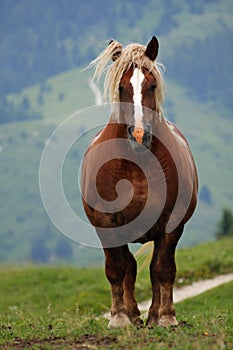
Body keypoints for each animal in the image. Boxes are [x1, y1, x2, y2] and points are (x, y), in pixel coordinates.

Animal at [81, 37, 198, 330]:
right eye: (121, 87)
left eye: (152, 85)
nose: (138, 135)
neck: (136, 165)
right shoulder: (106, 224)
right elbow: (116, 270)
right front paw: (119, 317)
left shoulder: (170, 224)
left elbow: (163, 269)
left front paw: (166, 316)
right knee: (129, 268)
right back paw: (133, 314)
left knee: (153, 268)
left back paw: (153, 315)